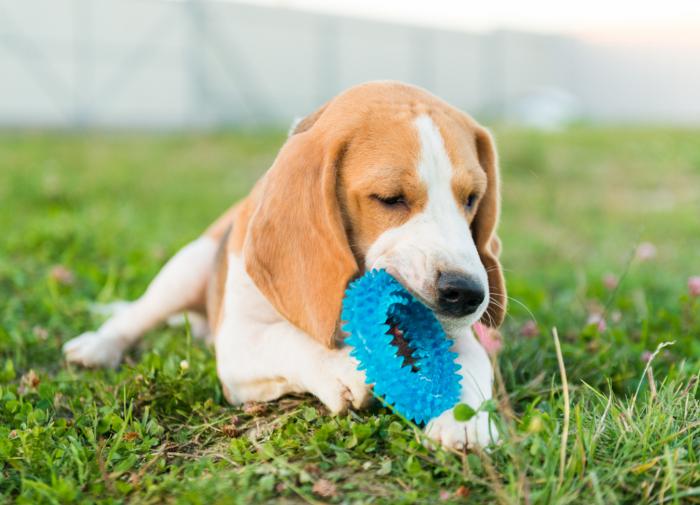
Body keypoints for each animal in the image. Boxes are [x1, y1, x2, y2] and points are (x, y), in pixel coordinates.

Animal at [63, 82, 506, 448]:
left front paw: (465, 421)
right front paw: (340, 367)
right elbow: (285, 338)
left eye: (472, 199)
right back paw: (97, 346)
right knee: (137, 315)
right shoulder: (238, 343)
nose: (467, 294)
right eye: (390, 198)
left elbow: (471, 363)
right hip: (186, 267)